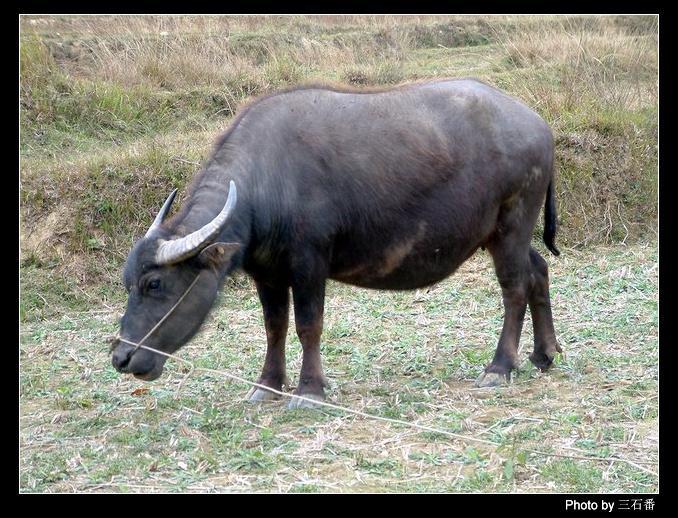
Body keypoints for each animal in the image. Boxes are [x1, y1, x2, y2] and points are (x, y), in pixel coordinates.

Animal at [111, 79, 564, 408]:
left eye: (155, 284)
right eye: (128, 284)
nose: (121, 358)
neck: (266, 183)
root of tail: (539, 125)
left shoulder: (309, 264)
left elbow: (308, 325)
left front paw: (309, 391)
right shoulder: (267, 273)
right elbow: (274, 327)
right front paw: (266, 386)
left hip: (512, 224)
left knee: (514, 288)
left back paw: (499, 367)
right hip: (502, 233)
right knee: (538, 270)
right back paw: (545, 354)